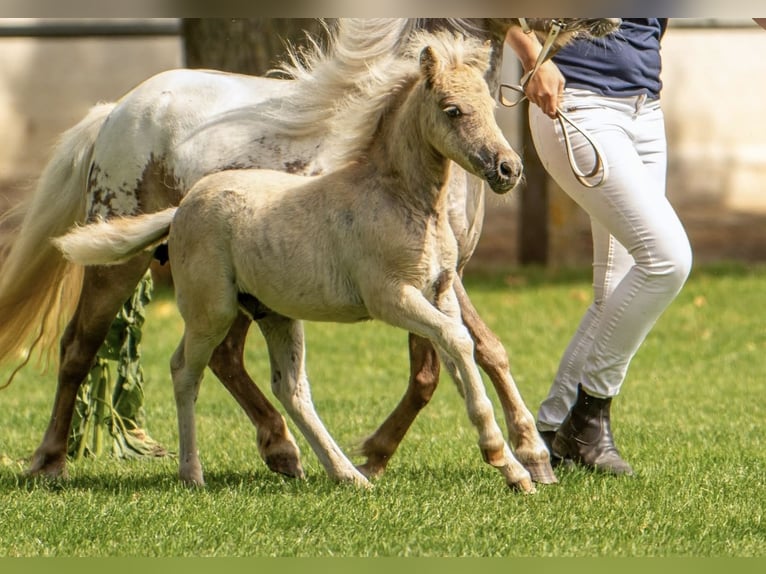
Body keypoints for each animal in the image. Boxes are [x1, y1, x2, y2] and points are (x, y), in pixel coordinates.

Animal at [0, 18, 620, 484]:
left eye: (492, 109)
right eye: (452, 110)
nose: (509, 169)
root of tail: (114, 112)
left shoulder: (443, 281)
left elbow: (459, 358)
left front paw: (518, 459)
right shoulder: (409, 290)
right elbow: (465, 351)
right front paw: (515, 456)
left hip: (258, 303)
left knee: (247, 369)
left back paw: (298, 457)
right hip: (138, 273)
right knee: (88, 347)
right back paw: (56, 462)